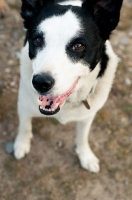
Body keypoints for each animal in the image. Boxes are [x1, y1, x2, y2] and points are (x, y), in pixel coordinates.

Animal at [13, 0, 122, 173]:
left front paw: (85, 156)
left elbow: (83, 137)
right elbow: (24, 126)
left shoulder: (87, 116)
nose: (40, 82)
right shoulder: (23, 105)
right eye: (38, 40)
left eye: (78, 46)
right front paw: (22, 143)